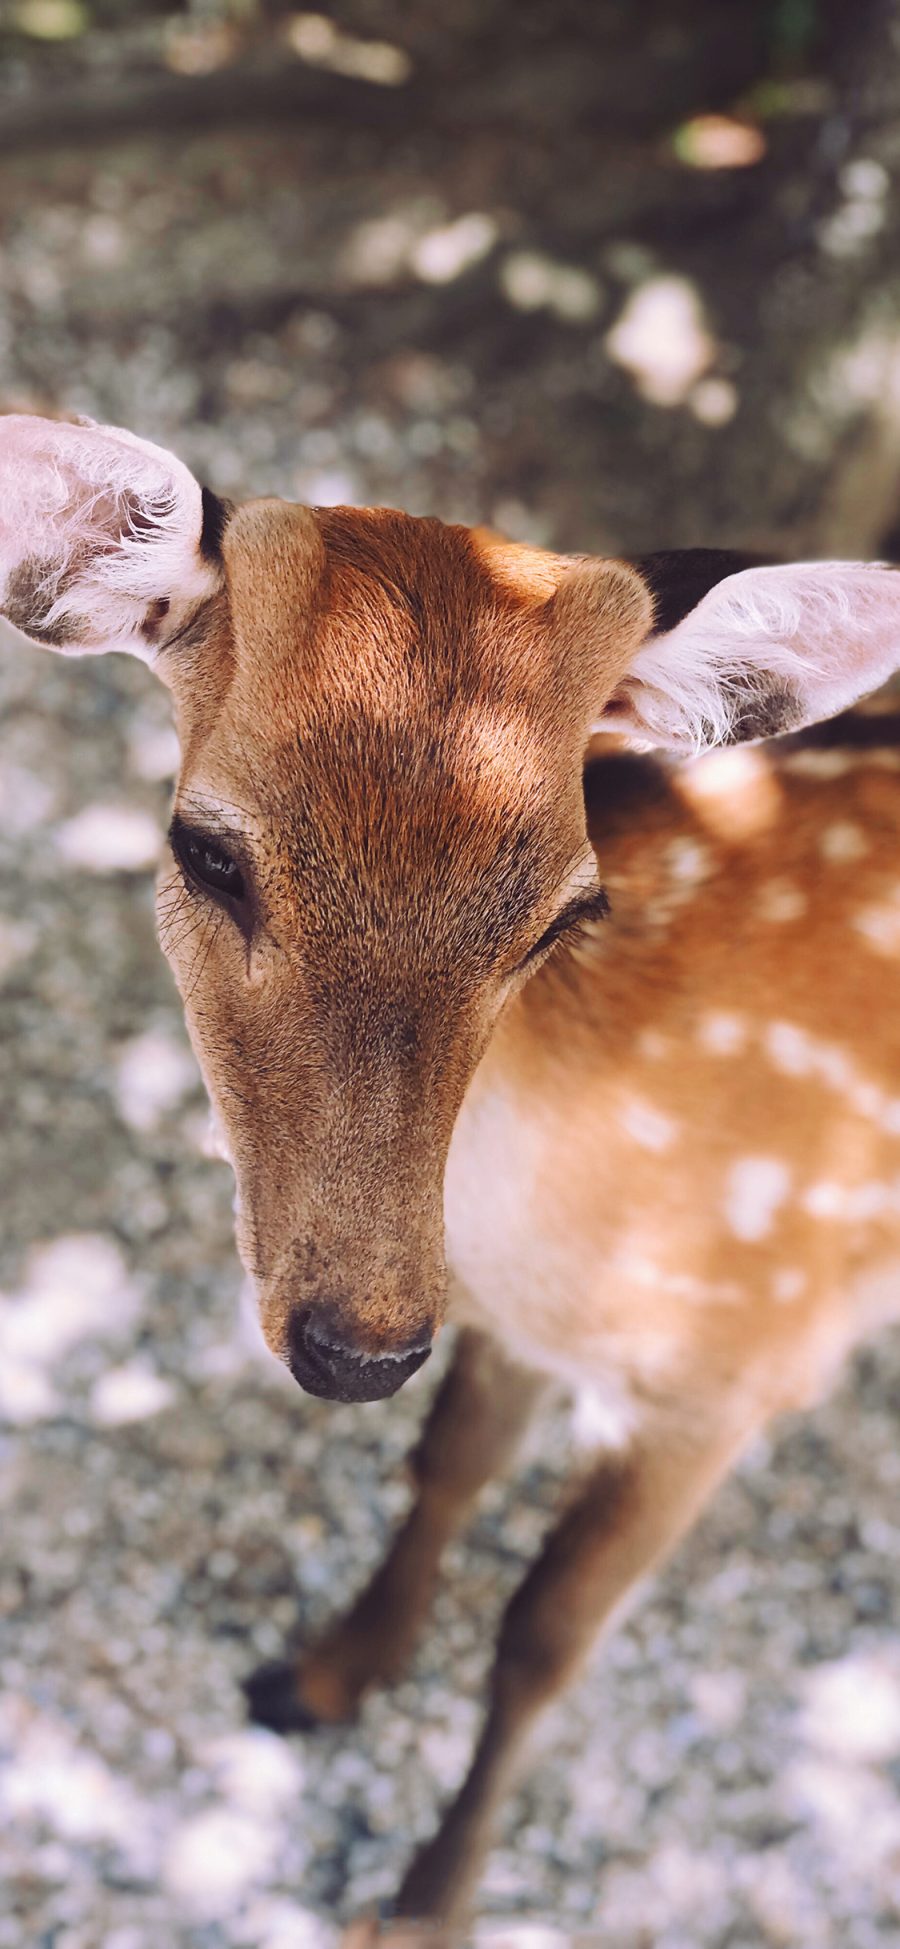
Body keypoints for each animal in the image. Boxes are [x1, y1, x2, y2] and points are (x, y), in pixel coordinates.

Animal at [1, 415, 900, 1933]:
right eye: (207, 849)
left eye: (566, 911)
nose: (357, 1343)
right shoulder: (514, 1318)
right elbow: (450, 1462)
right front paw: (322, 1671)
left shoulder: (739, 1366)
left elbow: (547, 1632)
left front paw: (426, 1900)